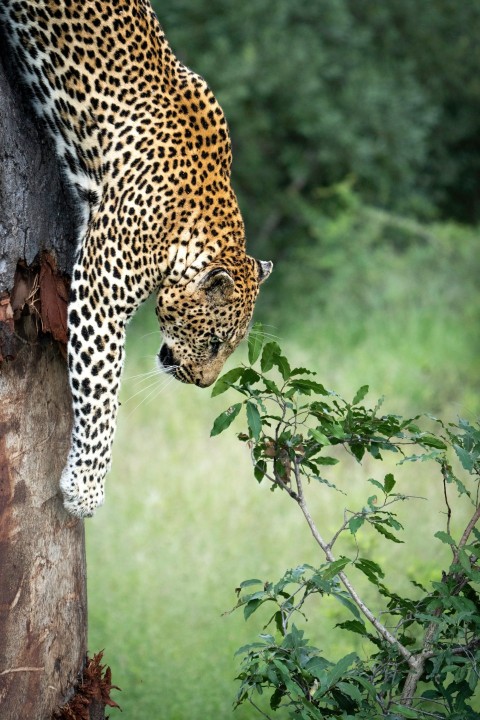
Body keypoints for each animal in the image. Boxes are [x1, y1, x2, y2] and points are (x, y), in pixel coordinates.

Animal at [0, 0, 272, 516]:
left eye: (230, 348)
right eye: (214, 343)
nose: (203, 384)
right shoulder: (99, 296)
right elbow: (102, 389)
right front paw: (86, 489)